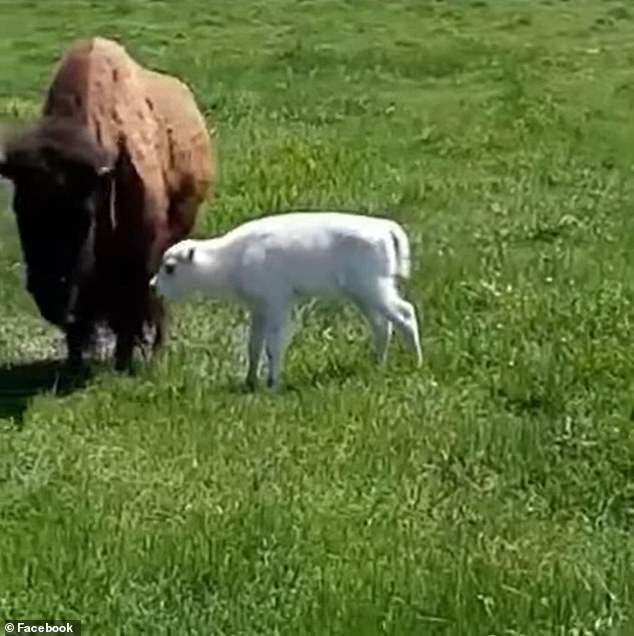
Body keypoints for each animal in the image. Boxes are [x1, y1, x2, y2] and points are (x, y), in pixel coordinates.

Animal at [0, 37, 215, 370]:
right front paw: (74, 363)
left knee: (156, 304)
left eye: (84, 215)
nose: (49, 294)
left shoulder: (137, 260)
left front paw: (123, 361)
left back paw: (156, 353)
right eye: (20, 209)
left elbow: (131, 308)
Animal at [151, 211, 422, 388]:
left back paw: (416, 363)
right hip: (366, 295)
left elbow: (273, 346)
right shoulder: (258, 309)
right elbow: (254, 346)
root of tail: (384, 228)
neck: (229, 257)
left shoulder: (277, 305)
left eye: (170, 268)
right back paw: (377, 364)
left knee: (405, 314)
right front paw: (250, 381)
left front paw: (273, 383)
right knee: (382, 325)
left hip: (373, 290)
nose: (153, 286)